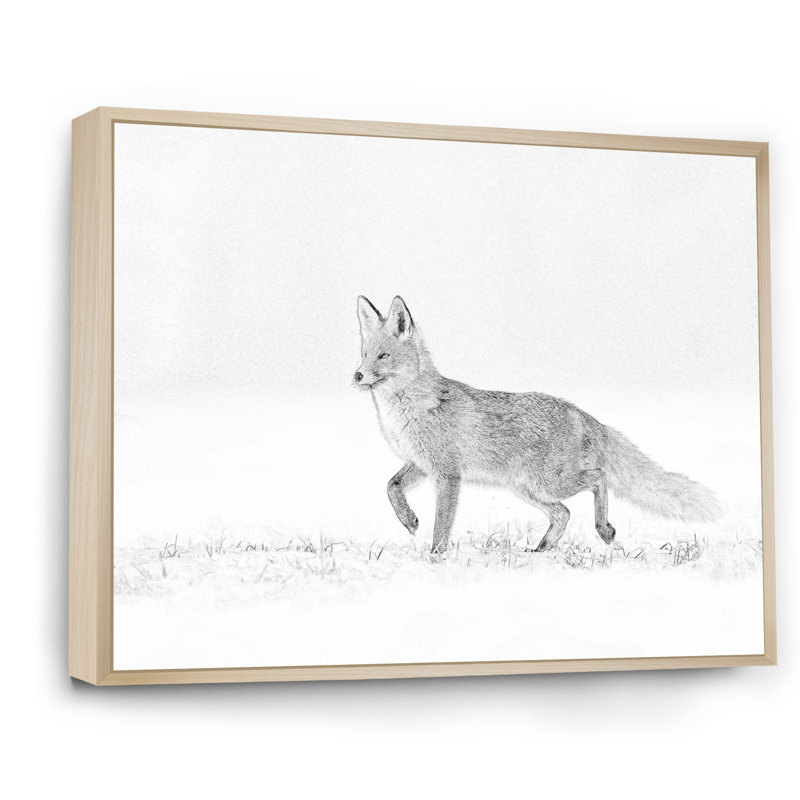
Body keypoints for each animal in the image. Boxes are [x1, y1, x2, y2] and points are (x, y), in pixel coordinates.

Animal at [353, 295, 719, 555]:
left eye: (383, 357)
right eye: (364, 355)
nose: (356, 375)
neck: (409, 411)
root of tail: (584, 414)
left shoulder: (447, 474)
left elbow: (442, 526)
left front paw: (436, 557)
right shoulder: (419, 463)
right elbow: (391, 487)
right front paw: (409, 520)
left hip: (547, 482)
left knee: (598, 478)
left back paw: (603, 529)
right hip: (528, 488)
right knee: (563, 513)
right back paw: (542, 550)